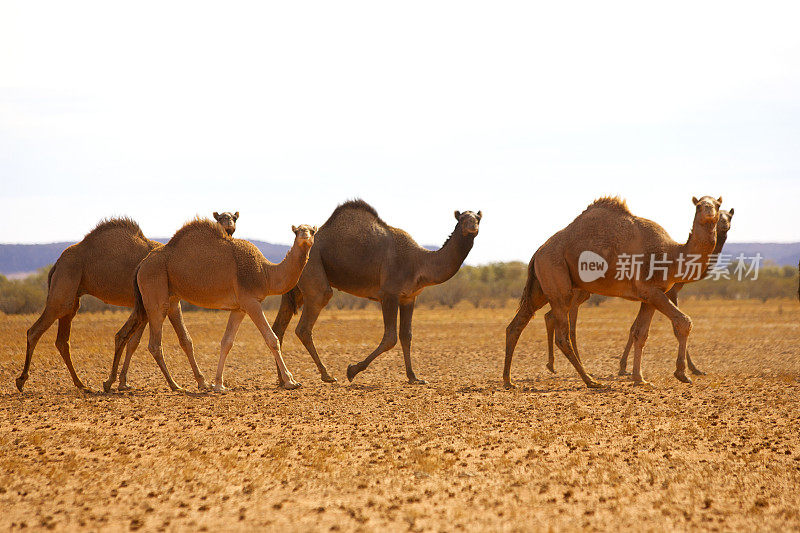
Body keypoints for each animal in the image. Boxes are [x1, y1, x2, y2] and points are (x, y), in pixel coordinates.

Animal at [16, 216, 228, 390]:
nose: (228, 229)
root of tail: (57, 263)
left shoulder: (156, 304)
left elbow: (139, 341)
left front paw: (122, 382)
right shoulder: (169, 302)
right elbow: (178, 339)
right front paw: (201, 382)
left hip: (73, 298)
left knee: (62, 340)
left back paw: (81, 384)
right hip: (64, 288)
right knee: (35, 331)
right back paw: (21, 381)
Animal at [104, 219, 318, 390]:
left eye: (312, 231)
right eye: (297, 231)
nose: (305, 237)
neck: (266, 273)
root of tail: (141, 265)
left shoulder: (239, 308)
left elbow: (227, 342)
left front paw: (218, 384)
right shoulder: (251, 301)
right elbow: (272, 339)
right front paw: (291, 381)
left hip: (162, 298)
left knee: (144, 336)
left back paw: (115, 383)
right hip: (156, 295)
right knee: (154, 344)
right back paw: (175, 385)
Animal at [272, 198, 482, 382]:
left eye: (478, 218)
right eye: (462, 219)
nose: (472, 226)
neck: (419, 262)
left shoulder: (409, 297)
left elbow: (406, 335)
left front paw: (414, 377)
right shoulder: (389, 294)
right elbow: (390, 338)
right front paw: (352, 370)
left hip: (296, 285)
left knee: (278, 328)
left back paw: (283, 380)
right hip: (312, 268)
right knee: (305, 325)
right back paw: (326, 375)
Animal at [506, 195, 724, 386]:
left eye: (717, 205)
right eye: (699, 205)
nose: (710, 212)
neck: (672, 254)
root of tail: (538, 252)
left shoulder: (651, 296)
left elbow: (641, 334)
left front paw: (640, 379)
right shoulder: (652, 291)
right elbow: (683, 322)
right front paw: (682, 374)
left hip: (541, 287)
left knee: (517, 324)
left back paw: (508, 381)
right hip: (557, 279)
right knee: (562, 334)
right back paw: (591, 381)